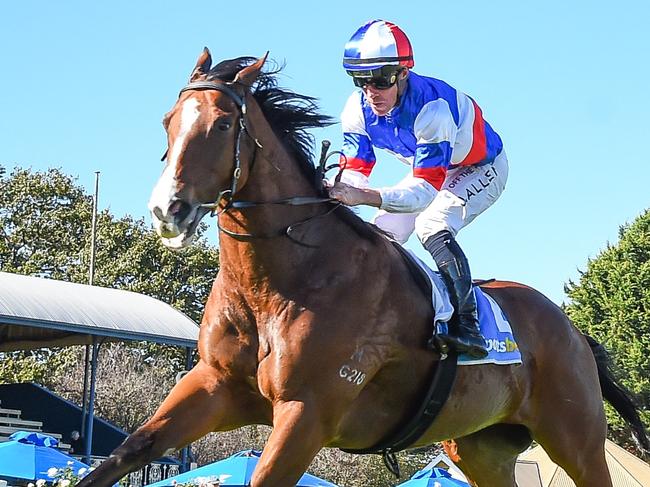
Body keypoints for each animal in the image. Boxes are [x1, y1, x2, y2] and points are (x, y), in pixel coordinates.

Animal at [77, 49, 648, 487]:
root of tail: (574, 331)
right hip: (482, 448)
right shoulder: (214, 385)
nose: (166, 210)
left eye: (221, 124)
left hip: (575, 439)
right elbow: (128, 451)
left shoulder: (307, 412)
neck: (278, 282)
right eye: (167, 122)